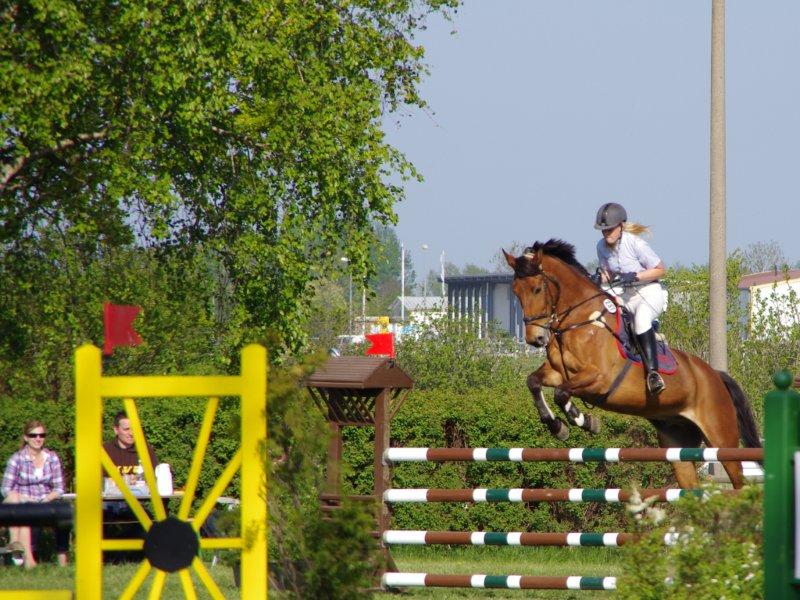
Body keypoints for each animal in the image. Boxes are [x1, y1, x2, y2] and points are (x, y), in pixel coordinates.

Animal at [503, 239, 761, 489]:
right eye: (515, 292)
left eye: (537, 289)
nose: (535, 339)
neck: (581, 321)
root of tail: (715, 375)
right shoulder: (558, 372)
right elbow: (534, 382)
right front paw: (558, 426)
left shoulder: (599, 378)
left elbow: (561, 393)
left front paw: (583, 421)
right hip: (678, 444)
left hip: (721, 438)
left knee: (739, 482)